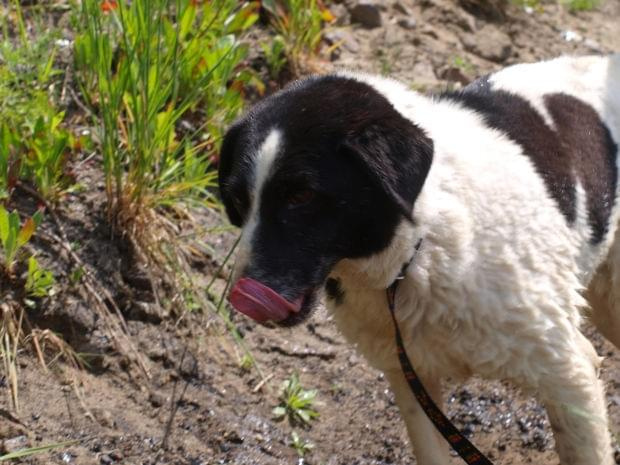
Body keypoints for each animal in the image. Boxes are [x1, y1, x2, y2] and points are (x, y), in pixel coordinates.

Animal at [218, 56, 620, 464]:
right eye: (236, 199)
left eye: (301, 195)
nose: (240, 296)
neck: (419, 250)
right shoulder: (412, 377)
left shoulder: (569, 373)